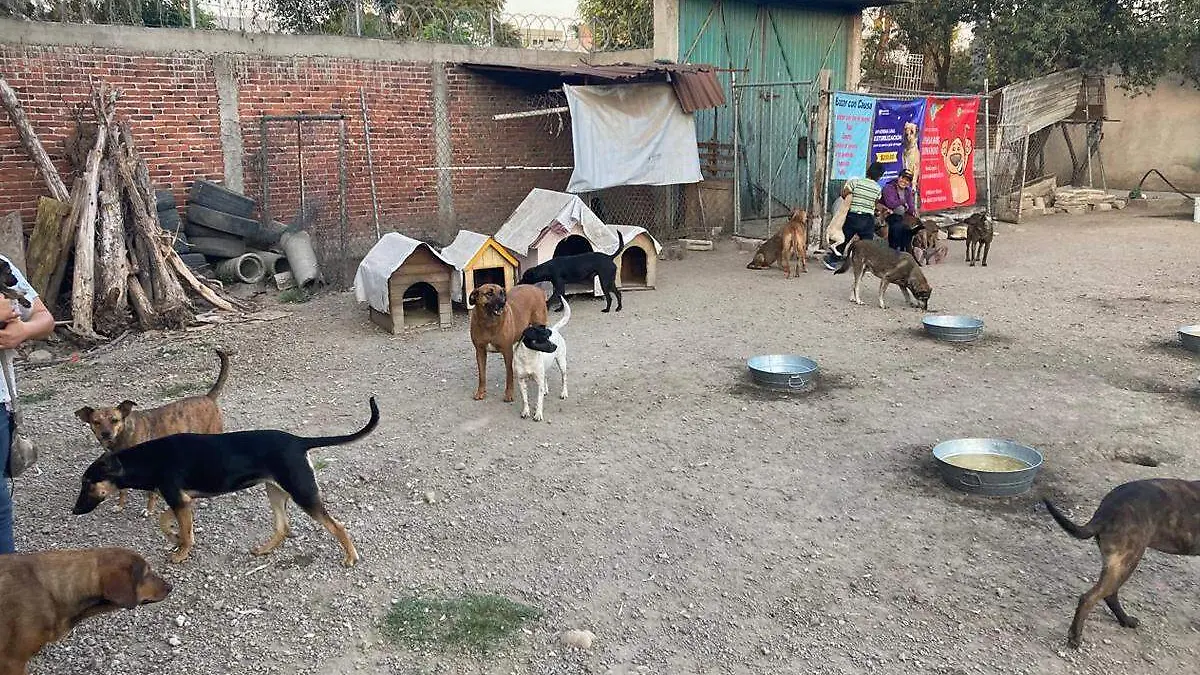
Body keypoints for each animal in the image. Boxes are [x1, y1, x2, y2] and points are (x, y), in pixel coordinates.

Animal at [73, 393, 379, 562]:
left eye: (88, 483)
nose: (74, 511)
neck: (147, 459)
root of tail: (299, 441)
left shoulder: (179, 501)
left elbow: (183, 533)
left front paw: (180, 553)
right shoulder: (183, 500)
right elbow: (166, 523)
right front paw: (175, 537)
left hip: (302, 493)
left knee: (337, 525)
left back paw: (350, 557)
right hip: (274, 491)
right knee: (282, 527)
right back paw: (263, 550)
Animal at [75, 345, 231, 514]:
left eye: (114, 420)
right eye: (96, 422)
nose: (105, 434)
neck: (123, 436)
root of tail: (208, 397)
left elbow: (151, 494)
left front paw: (149, 510)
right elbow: (122, 491)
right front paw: (120, 505)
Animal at [1041, 478, 1200, 648]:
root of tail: (1106, 508)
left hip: (1119, 563)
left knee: (1109, 594)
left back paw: (1125, 620)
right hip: (1128, 560)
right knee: (1089, 598)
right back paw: (1075, 637)